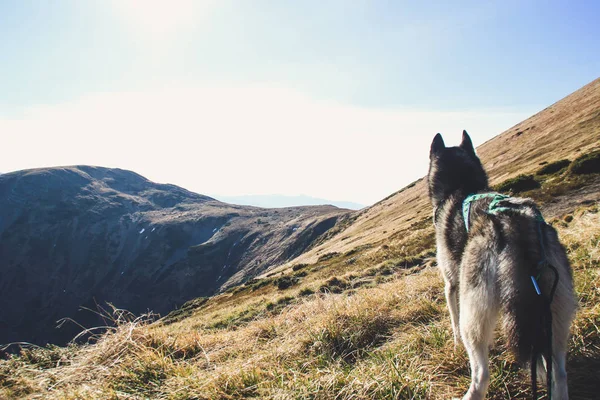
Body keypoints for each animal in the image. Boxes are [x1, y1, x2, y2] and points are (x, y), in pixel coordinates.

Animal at [426, 131, 576, 400]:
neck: (461, 186)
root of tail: (516, 225)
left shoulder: (451, 286)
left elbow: (453, 321)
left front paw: (455, 345)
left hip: (473, 314)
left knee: (481, 375)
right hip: (556, 311)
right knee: (558, 372)